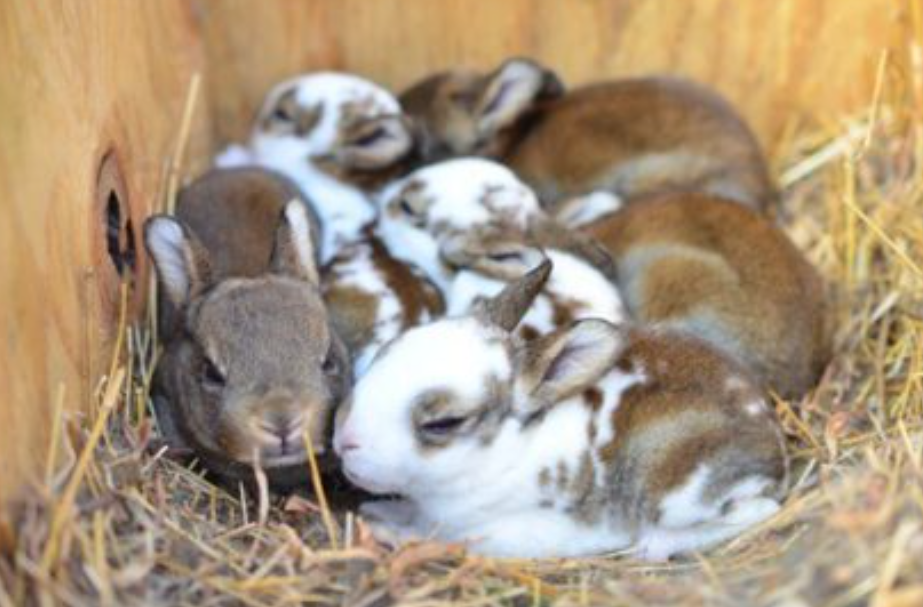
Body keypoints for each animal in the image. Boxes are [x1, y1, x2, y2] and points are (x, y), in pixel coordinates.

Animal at [333, 261, 789, 560]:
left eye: (444, 423)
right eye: (389, 350)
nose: (344, 440)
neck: (506, 453)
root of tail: (774, 449)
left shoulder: (509, 533)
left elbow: (444, 539)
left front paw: (388, 528)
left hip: (681, 494)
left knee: (759, 512)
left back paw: (652, 544)